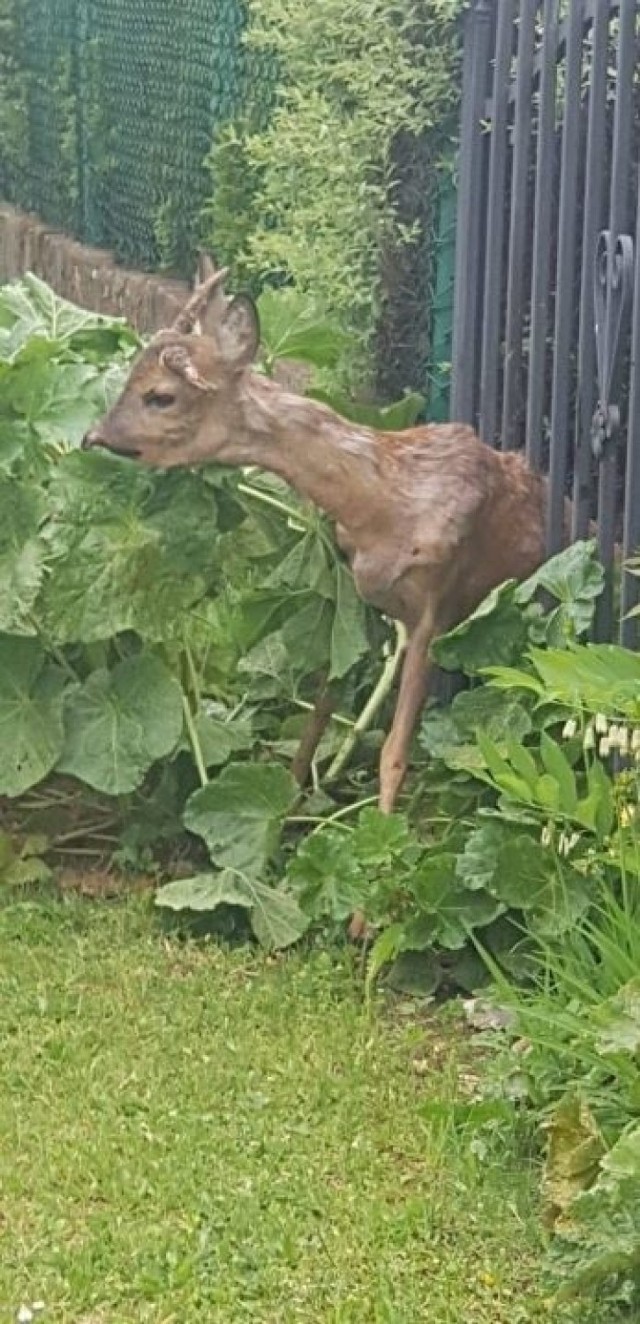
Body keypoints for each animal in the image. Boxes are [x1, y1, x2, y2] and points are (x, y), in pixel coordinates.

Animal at [85, 264, 553, 836]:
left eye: (160, 396)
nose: (93, 435)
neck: (384, 504)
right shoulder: (359, 604)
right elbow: (317, 714)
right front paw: (285, 806)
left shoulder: (433, 608)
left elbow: (394, 753)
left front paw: (380, 836)